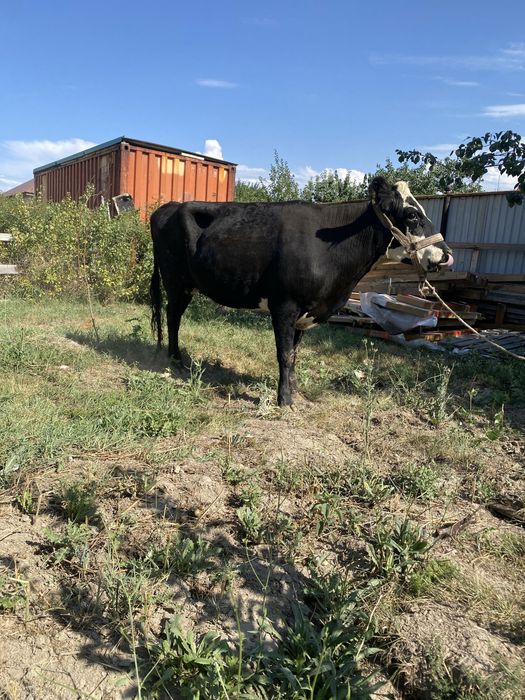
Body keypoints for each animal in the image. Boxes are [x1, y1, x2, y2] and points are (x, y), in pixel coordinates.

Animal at [150, 177, 453, 406]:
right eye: (412, 214)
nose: (447, 255)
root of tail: (167, 208)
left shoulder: (305, 313)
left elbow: (294, 354)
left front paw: (293, 389)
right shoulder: (284, 306)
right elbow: (284, 354)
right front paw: (284, 399)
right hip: (175, 282)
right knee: (172, 317)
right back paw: (175, 360)